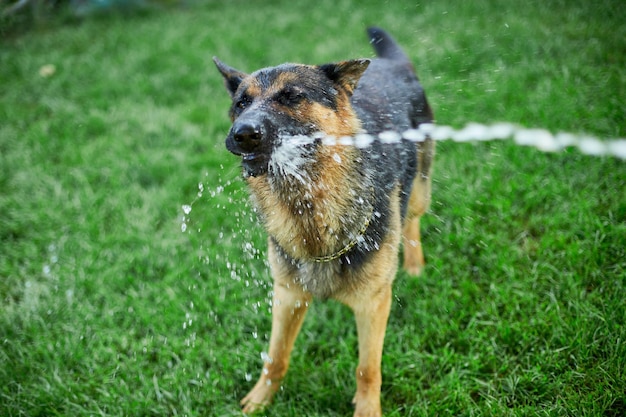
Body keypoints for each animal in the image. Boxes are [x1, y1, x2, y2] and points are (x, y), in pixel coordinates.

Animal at [212, 26, 432, 416]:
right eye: (241, 103)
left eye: (291, 96)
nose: (242, 133)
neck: (309, 204)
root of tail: (394, 65)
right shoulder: (287, 295)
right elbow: (276, 356)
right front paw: (260, 399)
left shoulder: (373, 303)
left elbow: (367, 368)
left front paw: (367, 409)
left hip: (419, 187)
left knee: (411, 223)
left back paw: (414, 266)